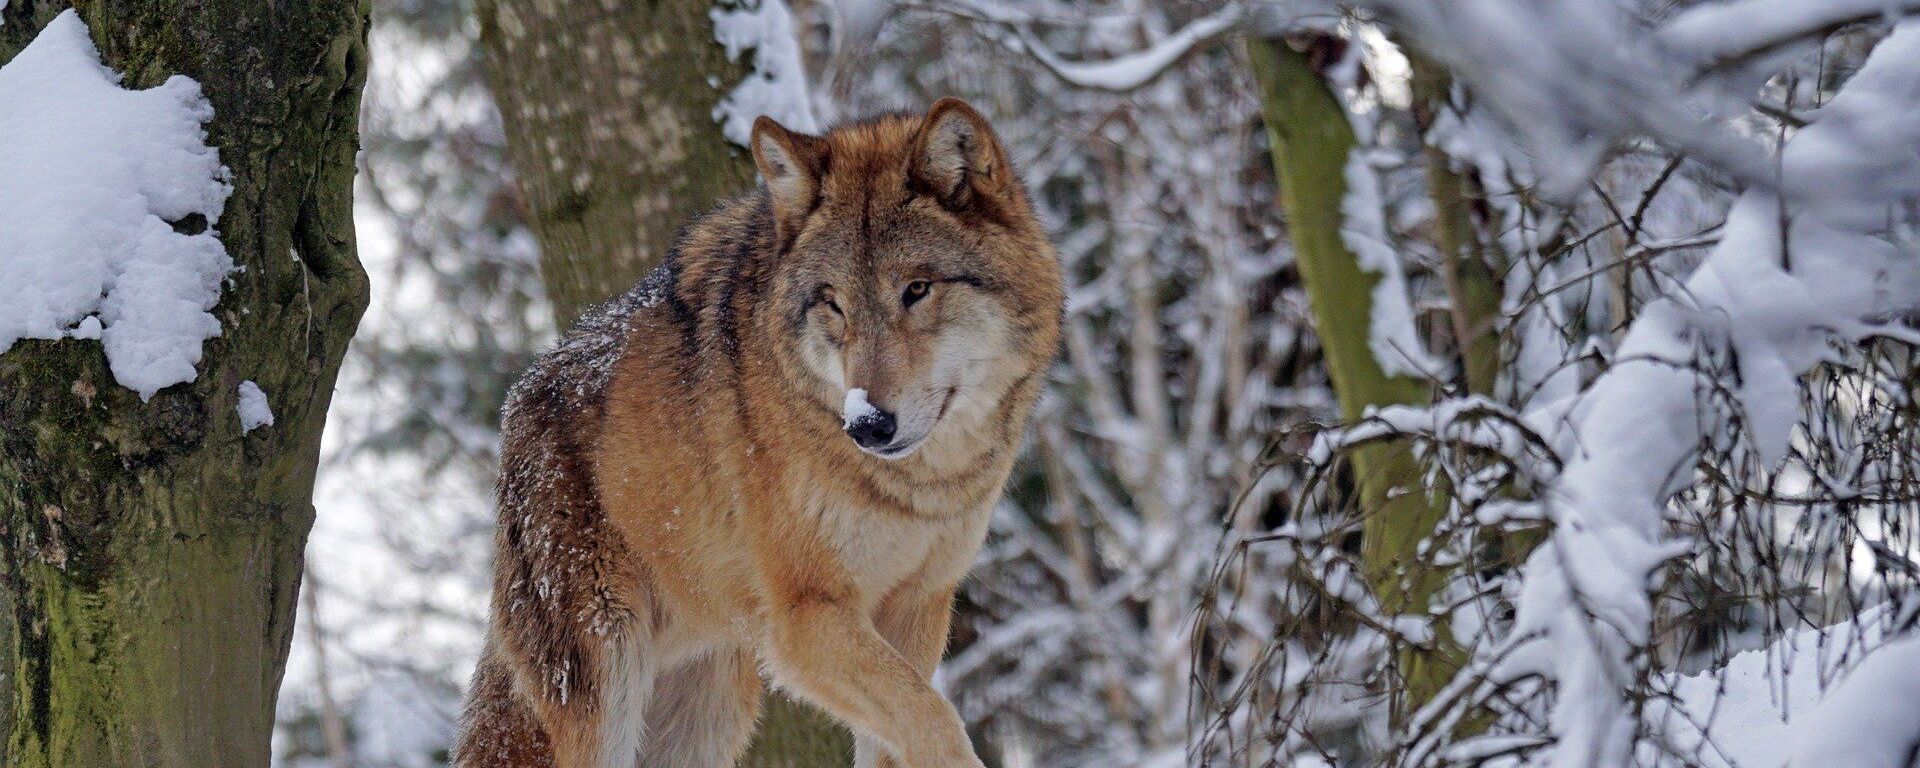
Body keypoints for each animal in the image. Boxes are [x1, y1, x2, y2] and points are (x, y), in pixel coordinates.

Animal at [458, 97, 1075, 768]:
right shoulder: (806, 617)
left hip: (708, 714)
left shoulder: (918, 609)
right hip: (609, 693)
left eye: (917, 289)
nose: (867, 424)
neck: (919, 490)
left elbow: (909, 724)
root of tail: (517, 405)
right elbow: (935, 718)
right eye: (833, 303)